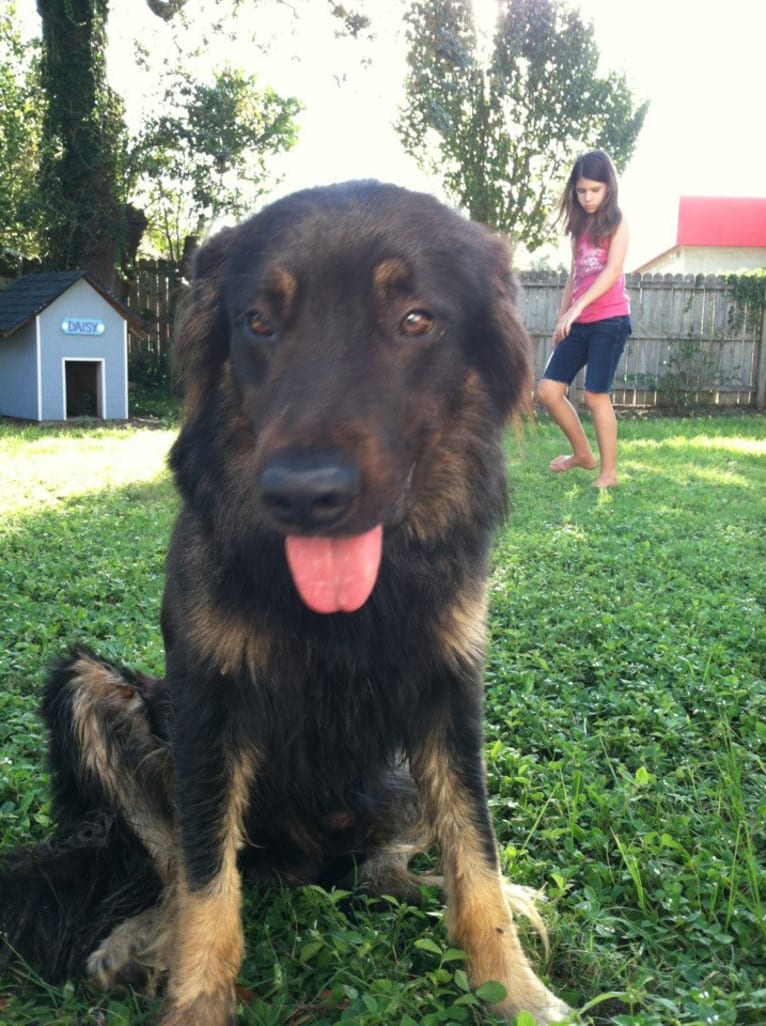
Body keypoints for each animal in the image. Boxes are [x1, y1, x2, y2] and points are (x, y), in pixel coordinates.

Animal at [0, 180, 570, 1021]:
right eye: (259, 323)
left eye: (416, 320)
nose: (304, 496)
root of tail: (311, 863)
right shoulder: (207, 708)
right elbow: (207, 883)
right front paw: (196, 1002)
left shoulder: (447, 699)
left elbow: (477, 858)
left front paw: (517, 991)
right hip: (91, 691)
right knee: (176, 870)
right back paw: (140, 940)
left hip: (394, 783)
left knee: (386, 868)